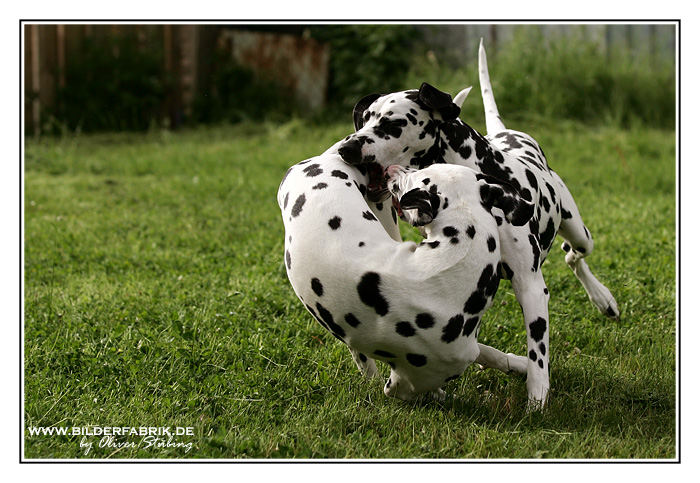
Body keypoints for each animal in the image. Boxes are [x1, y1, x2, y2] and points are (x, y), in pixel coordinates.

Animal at [276, 140, 532, 400]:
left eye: (417, 176)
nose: (392, 169)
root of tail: (324, 160)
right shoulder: (409, 381)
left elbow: (485, 351)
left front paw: (518, 364)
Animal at [336, 40, 620, 408]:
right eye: (365, 119)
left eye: (393, 123)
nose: (347, 147)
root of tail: (506, 133)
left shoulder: (530, 285)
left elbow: (538, 350)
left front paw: (538, 395)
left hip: (580, 233)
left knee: (575, 253)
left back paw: (603, 298)